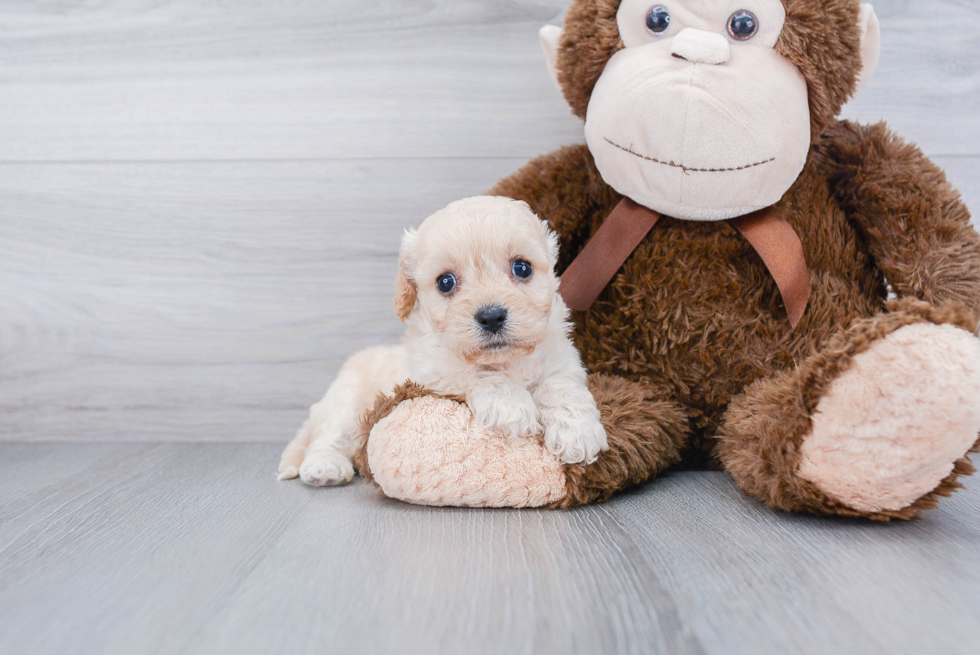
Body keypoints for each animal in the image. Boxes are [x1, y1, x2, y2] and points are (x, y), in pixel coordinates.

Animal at [276, 195, 608, 486]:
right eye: (445, 282)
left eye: (522, 267)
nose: (491, 316)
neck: (505, 361)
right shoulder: (432, 371)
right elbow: (476, 373)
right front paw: (509, 405)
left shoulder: (562, 359)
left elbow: (562, 387)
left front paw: (578, 432)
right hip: (347, 403)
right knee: (327, 437)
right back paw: (324, 467)